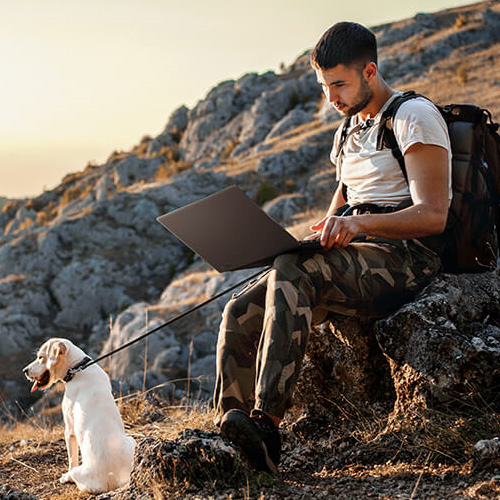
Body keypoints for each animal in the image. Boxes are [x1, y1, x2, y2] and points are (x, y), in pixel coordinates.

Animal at [23, 336, 135, 492]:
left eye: (41, 357)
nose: (24, 370)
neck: (77, 368)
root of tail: (112, 478)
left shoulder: (69, 431)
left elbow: (72, 459)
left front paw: (66, 476)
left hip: (80, 471)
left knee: (74, 471)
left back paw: (68, 477)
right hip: (132, 441)